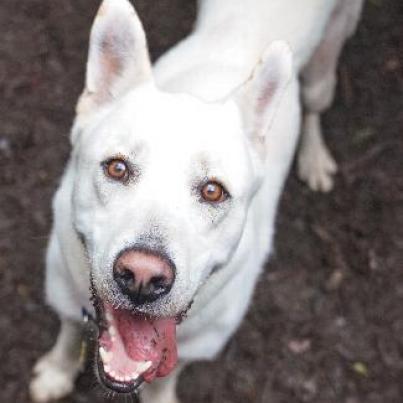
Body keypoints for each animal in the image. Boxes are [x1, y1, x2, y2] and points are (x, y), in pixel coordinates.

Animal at [30, 0, 364, 403]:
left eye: (213, 191)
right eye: (117, 168)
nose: (142, 277)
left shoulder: (197, 347)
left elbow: (165, 379)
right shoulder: (64, 291)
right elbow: (67, 333)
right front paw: (57, 371)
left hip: (330, 53)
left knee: (316, 103)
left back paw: (314, 156)